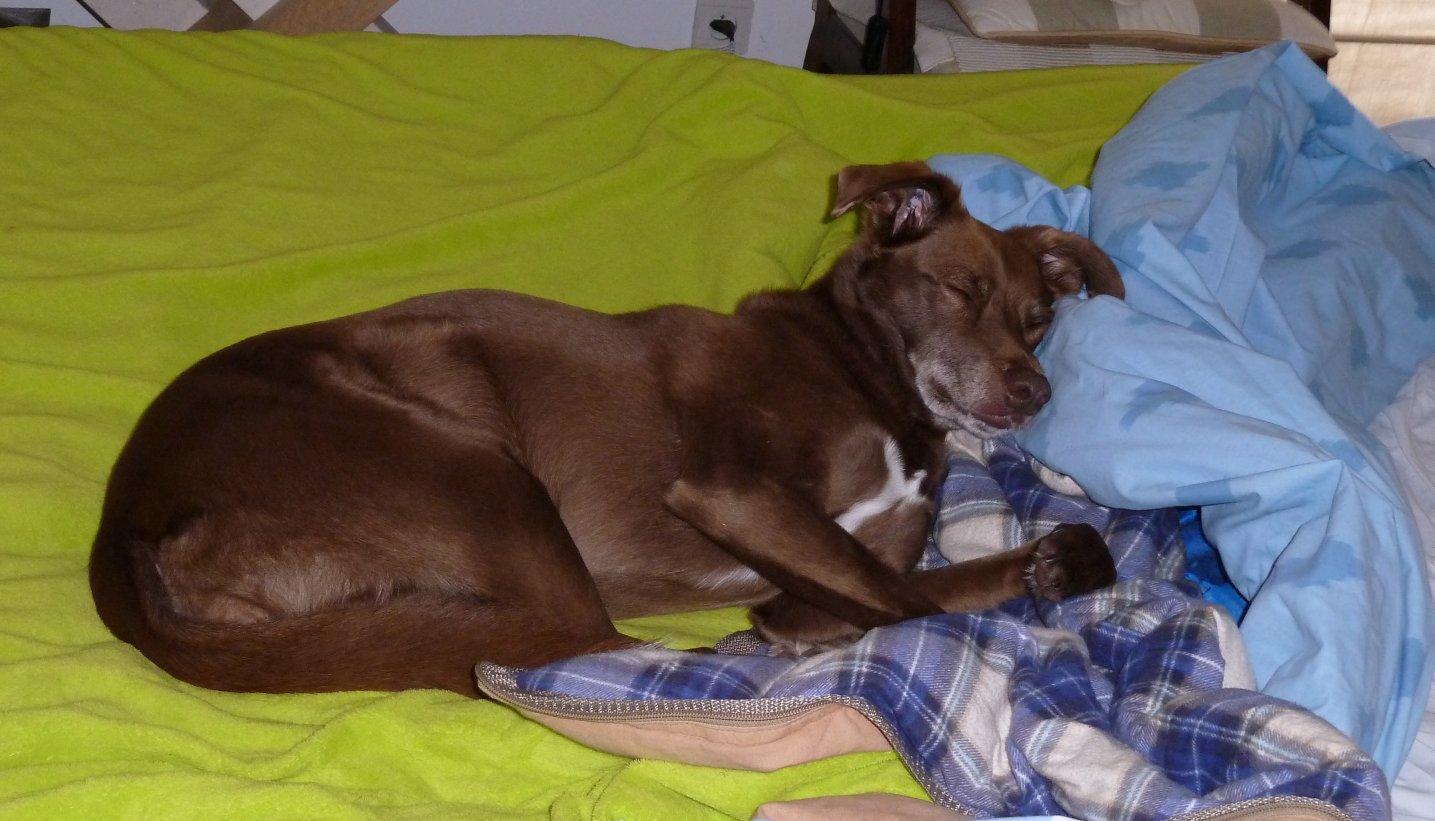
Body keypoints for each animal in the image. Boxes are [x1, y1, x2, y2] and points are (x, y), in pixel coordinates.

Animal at [89, 161, 1121, 697]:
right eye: (961, 288)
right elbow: (899, 599)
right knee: (575, 629)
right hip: (477, 468)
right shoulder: (730, 489)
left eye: (1038, 318)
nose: (1033, 389)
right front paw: (792, 629)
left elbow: (918, 579)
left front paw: (1056, 561)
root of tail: (125, 520)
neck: (862, 367)